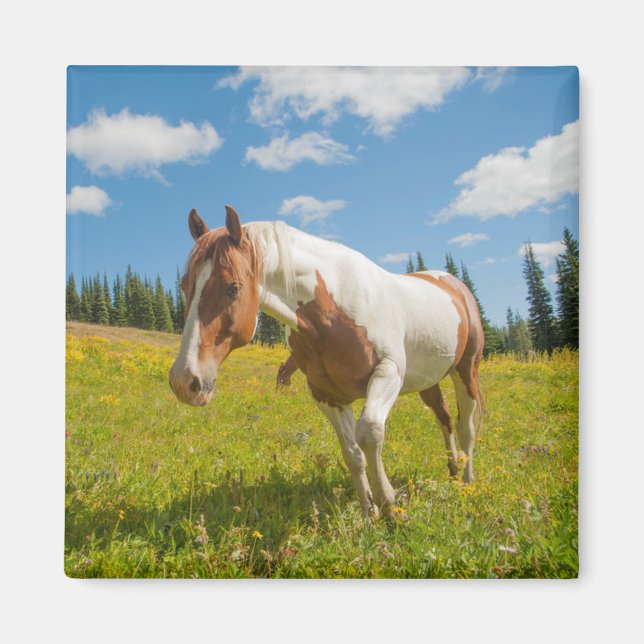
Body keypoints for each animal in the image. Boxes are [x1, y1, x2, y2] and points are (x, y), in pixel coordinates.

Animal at [169, 205, 484, 517]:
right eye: (185, 285)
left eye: (233, 288)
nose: (185, 381)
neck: (331, 311)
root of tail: (456, 286)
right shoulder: (326, 394)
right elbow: (352, 453)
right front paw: (369, 514)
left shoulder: (388, 373)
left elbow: (369, 432)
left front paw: (389, 503)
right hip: (427, 381)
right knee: (444, 419)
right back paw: (453, 470)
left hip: (465, 371)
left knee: (466, 426)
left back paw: (468, 482)